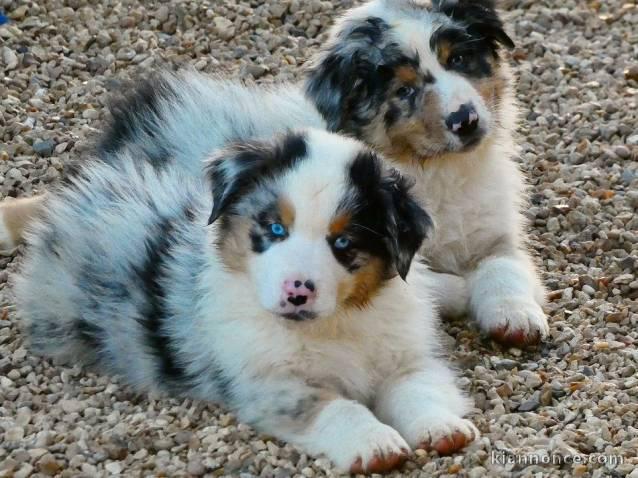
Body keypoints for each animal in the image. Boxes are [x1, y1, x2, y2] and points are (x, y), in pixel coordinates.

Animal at [15, 128, 478, 474]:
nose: (297, 292)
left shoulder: (407, 357)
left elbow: (418, 390)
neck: (334, 323)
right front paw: (375, 443)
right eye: (274, 229)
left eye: (343, 242)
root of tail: (78, 192)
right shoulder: (270, 383)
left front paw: (443, 428)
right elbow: (337, 407)